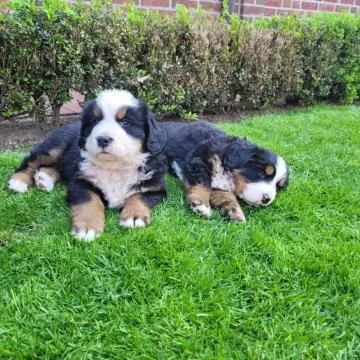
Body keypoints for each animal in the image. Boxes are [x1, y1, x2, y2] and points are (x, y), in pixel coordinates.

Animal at [8, 89, 169, 242]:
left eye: (125, 122)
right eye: (95, 120)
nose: (103, 139)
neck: (114, 166)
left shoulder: (155, 187)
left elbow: (138, 196)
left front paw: (134, 216)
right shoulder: (80, 182)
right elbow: (89, 201)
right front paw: (87, 228)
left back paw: (43, 179)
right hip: (55, 146)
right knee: (31, 160)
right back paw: (18, 182)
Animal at [160, 121, 290, 222]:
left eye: (278, 187)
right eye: (261, 173)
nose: (267, 199)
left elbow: (226, 196)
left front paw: (235, 212)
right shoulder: (198, 162)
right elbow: (202, 185)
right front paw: (201, 204)